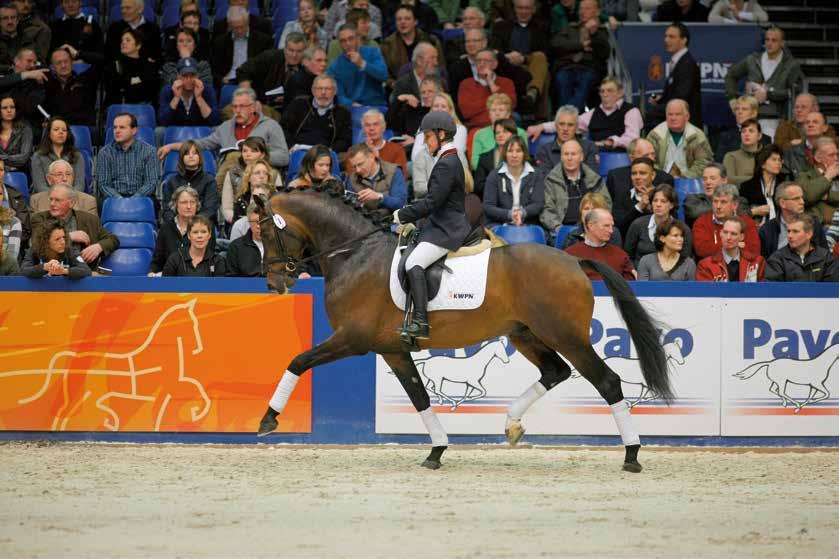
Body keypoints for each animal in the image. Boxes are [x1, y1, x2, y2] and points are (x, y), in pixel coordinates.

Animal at [251, 185, 676, 472]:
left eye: (266, 233)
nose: (273, 283)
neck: (356, 254)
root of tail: (574, 262)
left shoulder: (351, 339)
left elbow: (298, 361)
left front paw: (268, 419)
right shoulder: (392, 349)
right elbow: (419, 397)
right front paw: (437, 450)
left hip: (565, 336)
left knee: (607, 382)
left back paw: (632, 454)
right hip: (524, 333)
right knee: (555, 371)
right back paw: (511, 424)